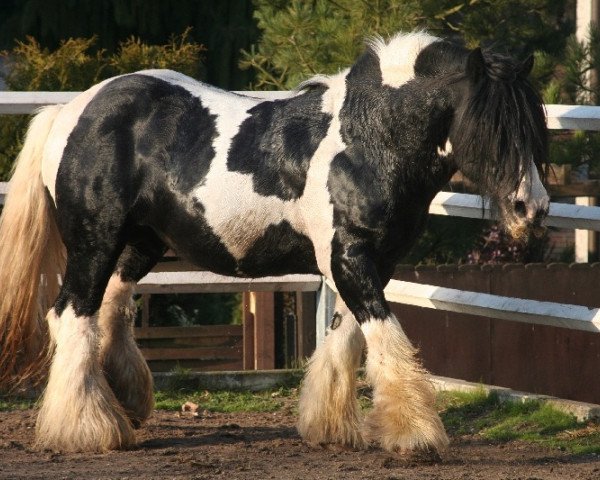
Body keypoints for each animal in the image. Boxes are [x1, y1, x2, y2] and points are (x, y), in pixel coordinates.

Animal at [0, 31, 548, 452]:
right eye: (492, 129)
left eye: (533, 129)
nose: (533, 208)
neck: (369, 137)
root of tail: (69, 111)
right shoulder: (350, 258)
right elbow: (385, 336)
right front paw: (416, 434)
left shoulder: (372, 261)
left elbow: (345, 337)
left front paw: (329, 427)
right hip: (94, 243)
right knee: (71, 314)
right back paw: (87, 429)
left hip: (143, 243)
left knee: (111, 306)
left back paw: (127, 403)